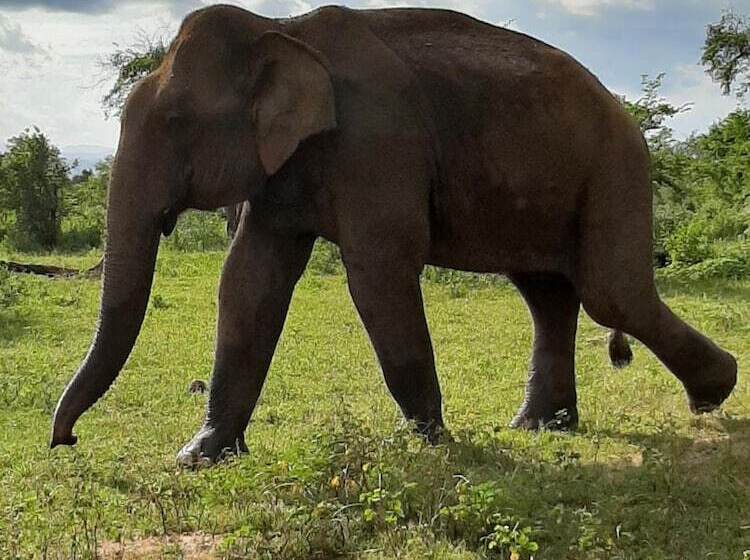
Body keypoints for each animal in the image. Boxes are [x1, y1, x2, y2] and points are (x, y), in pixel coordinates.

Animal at [50, 5, 737, 465]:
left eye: (173, 121)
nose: (67, 441)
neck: (281, 26)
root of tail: (625, 113)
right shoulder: (287, 169)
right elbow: (249, 282)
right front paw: (199, 457)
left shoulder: (376, 143)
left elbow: (378, 273)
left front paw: (426, 444)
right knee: (548, 295)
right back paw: (540, 427)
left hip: (615, 166)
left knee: (610, 292)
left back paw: (713, 396)